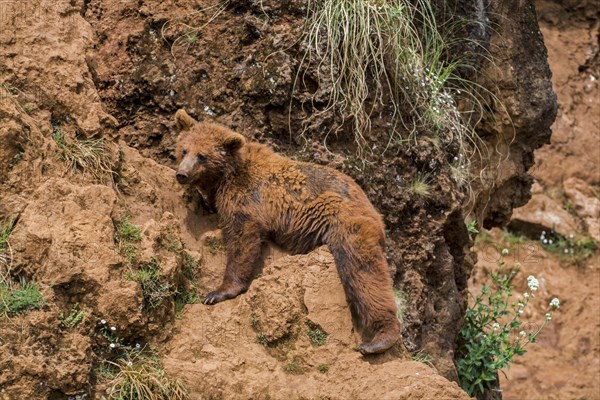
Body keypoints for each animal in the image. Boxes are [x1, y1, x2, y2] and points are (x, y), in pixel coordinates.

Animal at [175, 108, 404, 354]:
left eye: (202, 156)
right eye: (184, 149)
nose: (182, 174)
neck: (224, 176)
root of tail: (373, 208)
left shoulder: (247, 199)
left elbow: (242, 239)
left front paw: (217, 292)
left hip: (341, 218)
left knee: (362, 269)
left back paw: (378, 339)